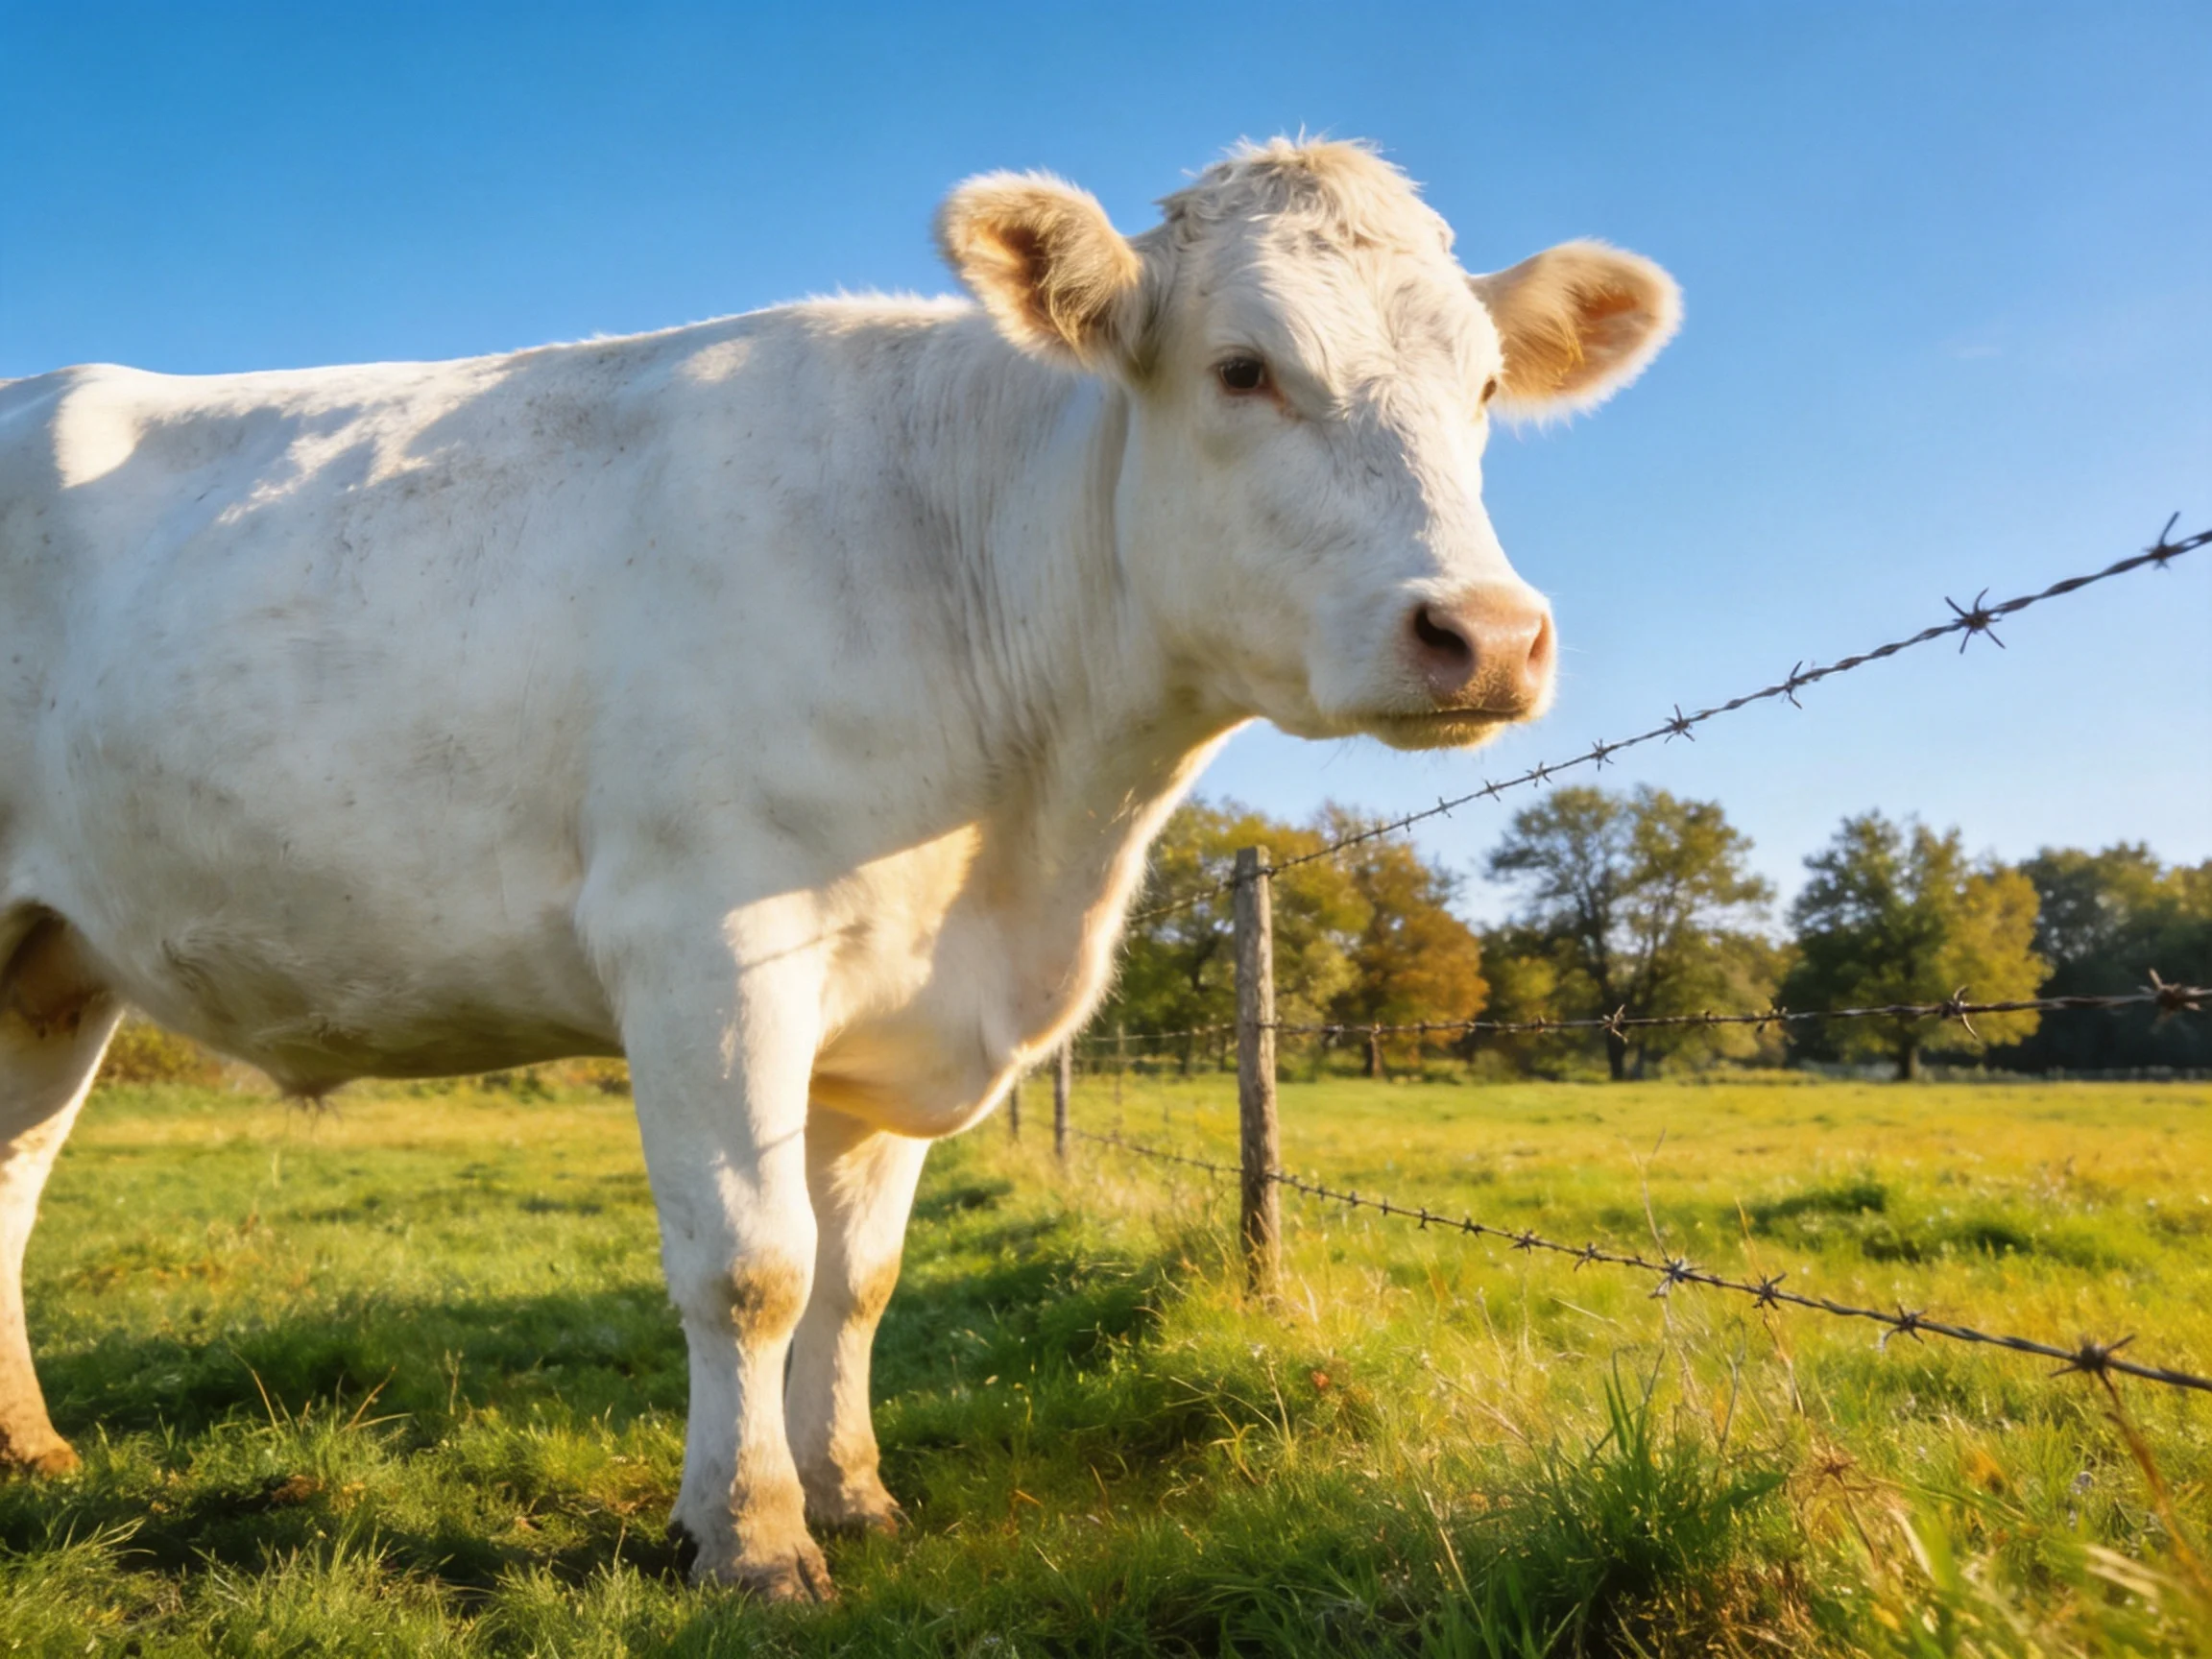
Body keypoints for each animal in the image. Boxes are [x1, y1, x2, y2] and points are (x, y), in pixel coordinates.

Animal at [0, 139, 1678, 1598]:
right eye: (1243, 368)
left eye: (1482, 387)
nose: (1485, 633)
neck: (1032, 834)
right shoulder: (706, 948)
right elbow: (754, 1267)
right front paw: (752, 1539)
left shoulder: (891, 1008)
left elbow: (858, 1275)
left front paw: (853, 1496)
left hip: (49, 962)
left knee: (9, 1179)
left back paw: (28, 1454)